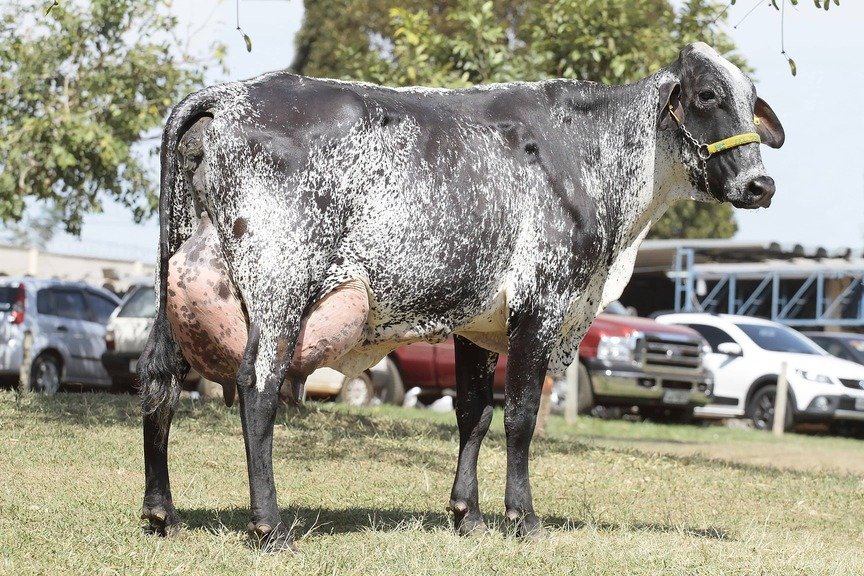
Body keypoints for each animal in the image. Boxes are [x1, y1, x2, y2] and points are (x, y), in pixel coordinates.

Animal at [135, 42, 784, 552]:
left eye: (752, 99)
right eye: (707, 95)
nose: (761, 184)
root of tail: (224, 96)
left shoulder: (479, 324)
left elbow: (474, 414)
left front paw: (466, 515)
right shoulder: (540, 307)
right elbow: (520, 417)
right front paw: (522, 518)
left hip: (177, 286)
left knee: (159, 379)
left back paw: (161, 513)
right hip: (279, 290)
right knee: (257, 386)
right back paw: (269, 527)